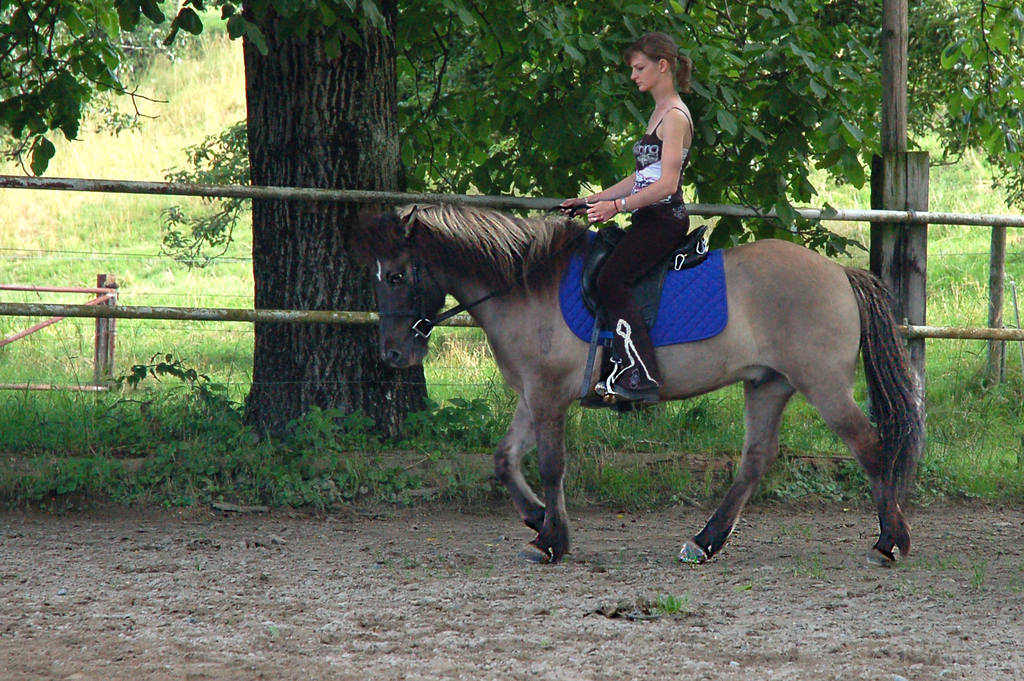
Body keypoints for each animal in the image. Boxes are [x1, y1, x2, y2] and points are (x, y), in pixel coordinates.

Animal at [356, 204, 925, 565]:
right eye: (377, 276)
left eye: (398, 276)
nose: (393, 354)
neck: (525, 285)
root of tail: (840, 273)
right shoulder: (531, 395)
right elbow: (504, 460)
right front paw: (538, 519)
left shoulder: (547, 395)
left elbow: (551, 466)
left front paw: (551, 539)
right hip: (769, 385)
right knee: (755, 462)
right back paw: (704, 542)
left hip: (822, 386)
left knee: (871, 446)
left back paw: (889, 541)